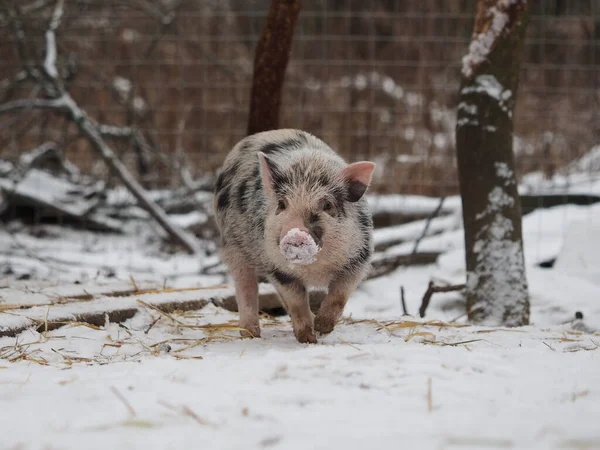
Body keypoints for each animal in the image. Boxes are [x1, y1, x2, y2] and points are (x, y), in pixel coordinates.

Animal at [213, 130, 376, 344]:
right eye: (282, 204)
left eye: (327, 205)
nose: (295, 234)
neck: (315, 270)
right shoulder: (278, 269)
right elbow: (297, 302)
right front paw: (308, 338)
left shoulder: (359, 260)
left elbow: (339, 296)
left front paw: (322, 328)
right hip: (232, 247)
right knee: (246, 288)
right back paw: (250, 335)